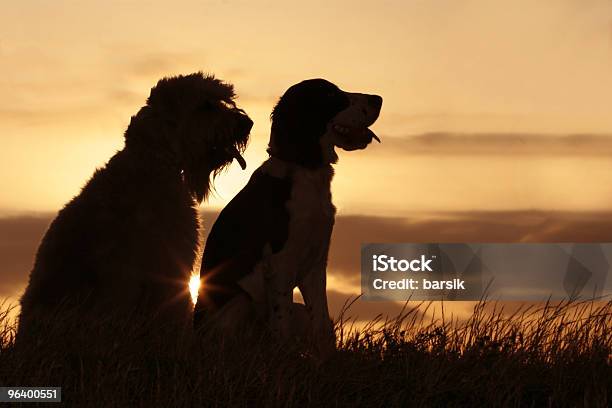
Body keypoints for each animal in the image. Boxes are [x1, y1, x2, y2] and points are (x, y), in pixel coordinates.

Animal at [194, 78, 382, 356]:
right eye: (330, 94)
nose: (378, 99)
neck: (306, 170)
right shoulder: (281, 261)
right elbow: (281, 321)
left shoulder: (316, 264)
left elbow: (321, 321)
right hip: (239, 300)